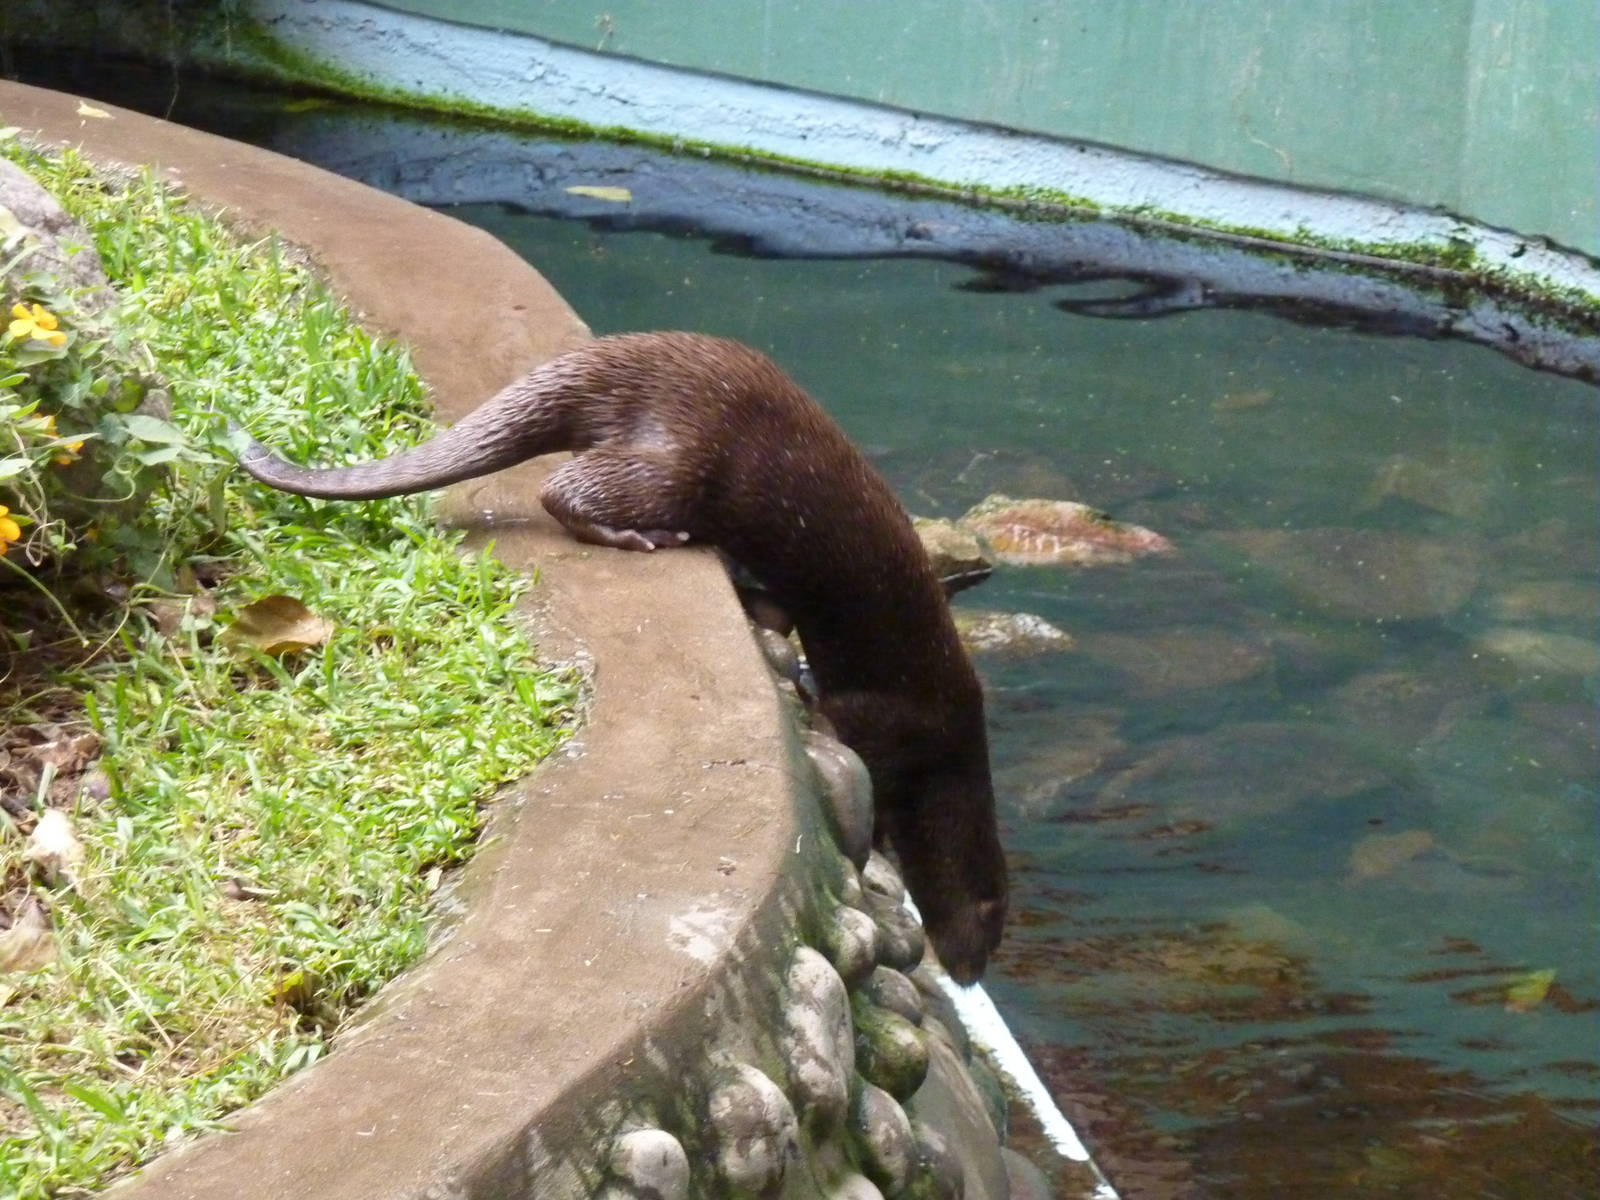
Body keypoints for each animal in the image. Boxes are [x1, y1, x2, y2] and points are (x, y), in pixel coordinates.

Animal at [237, 332, 1007, 983]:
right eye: (989, 934)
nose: (967, 975)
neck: (950, 757)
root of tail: (624, 359)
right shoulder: (901, 721)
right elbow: (848, 725)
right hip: (685, 458)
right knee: (565, 488)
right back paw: (640, 536)